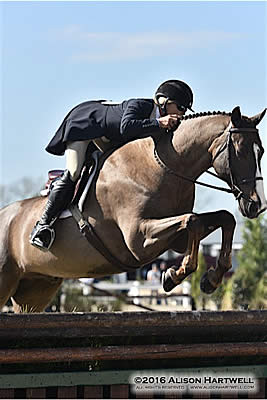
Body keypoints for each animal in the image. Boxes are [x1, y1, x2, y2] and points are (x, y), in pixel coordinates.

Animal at [0, 106, 266, 312]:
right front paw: (173, 276)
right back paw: (41, 231)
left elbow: (222, 219)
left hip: (36, 289)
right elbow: (193, 220)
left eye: (260, 151)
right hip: (7, 280)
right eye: (240, 151)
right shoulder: (138, 240)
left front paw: (211, 279)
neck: (164, 165)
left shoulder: (176, 241)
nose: (257, 205)